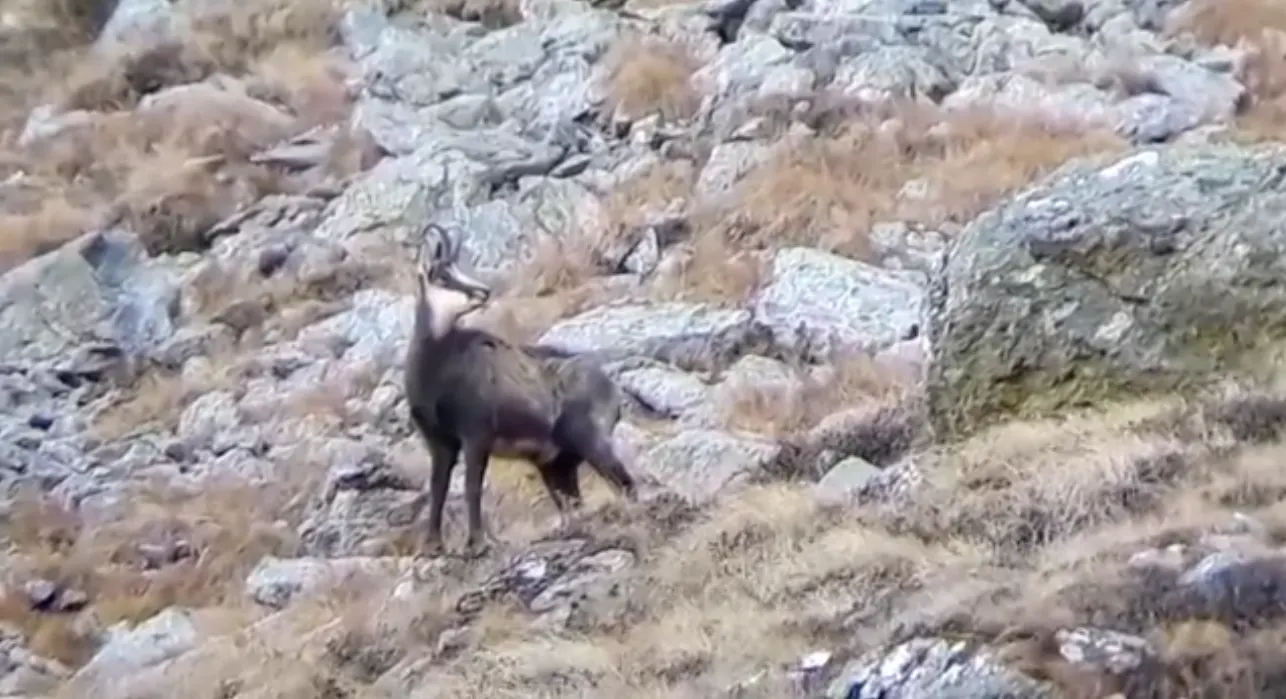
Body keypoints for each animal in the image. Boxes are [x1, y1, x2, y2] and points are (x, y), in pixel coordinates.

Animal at [404, 224, 639, 556]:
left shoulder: (476, 435)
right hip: (556, 464)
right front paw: (432, 546)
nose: (484, 292)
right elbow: (438, 489)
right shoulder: (439, 442)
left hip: (590, 441)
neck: (439, 360)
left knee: (624, 481)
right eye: (443, 275)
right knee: (573, 502)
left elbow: (471, 488)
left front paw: (476, 543)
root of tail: (612, 390)